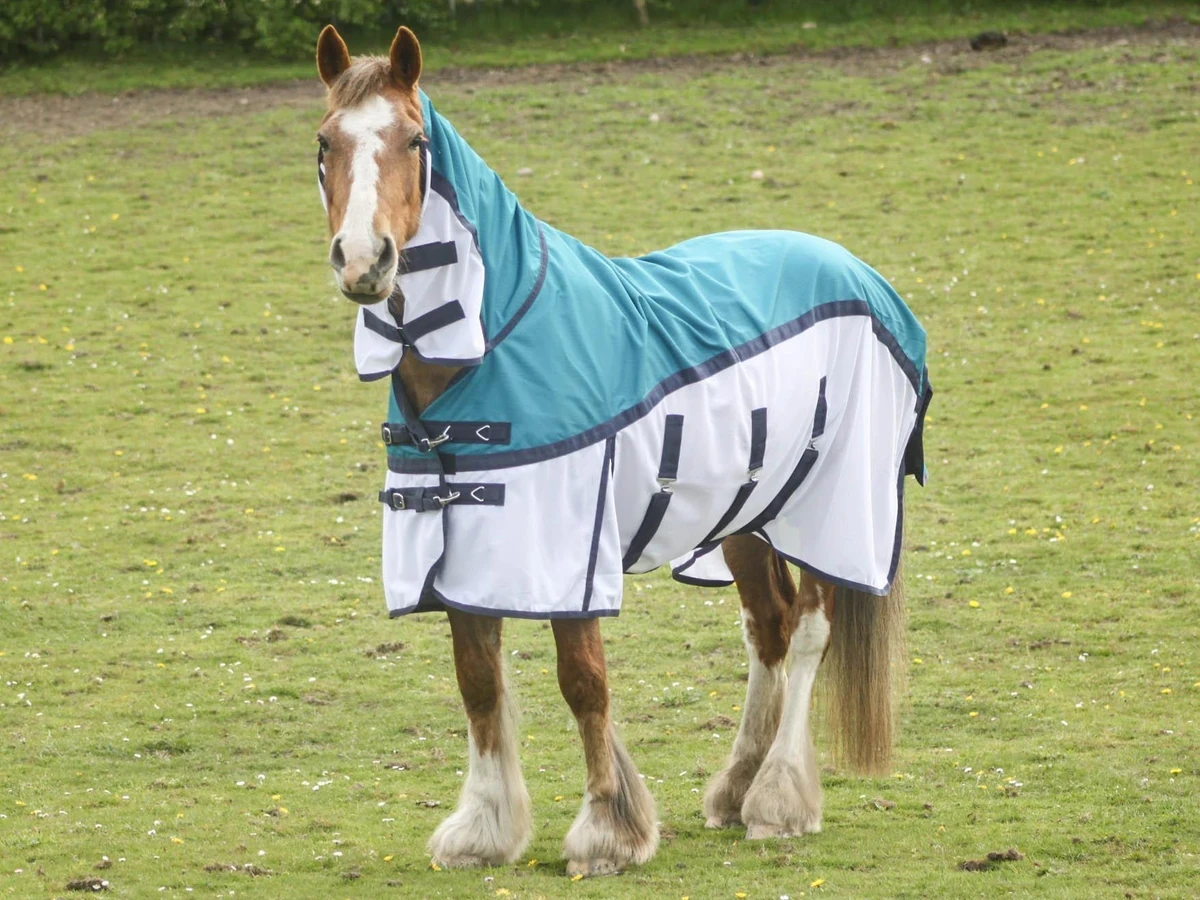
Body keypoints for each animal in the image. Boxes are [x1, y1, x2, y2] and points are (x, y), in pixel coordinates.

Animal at [312, 24, 930, 877]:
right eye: (324, 142)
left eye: (414, 139)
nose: (363, 261)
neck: (493, 344)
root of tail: (861, 273)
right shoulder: (463, 552)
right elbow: (478, 682)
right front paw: (483, 828)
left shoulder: (567, 552)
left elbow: (583, 682)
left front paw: (608, 830)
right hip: (747, 517)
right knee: (767, 629)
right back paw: (736, 786)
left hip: (829, 512)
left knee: (809, 629)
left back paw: (778, 798)